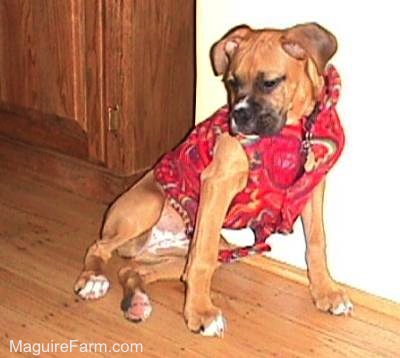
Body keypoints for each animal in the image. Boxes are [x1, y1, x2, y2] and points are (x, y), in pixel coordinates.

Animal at [74, 23, 354, 338]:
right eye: (232, 82)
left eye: (269, 83)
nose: (238, 117)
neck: (292, 134)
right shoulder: (219, 183)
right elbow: (202, 258)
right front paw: (200, 313)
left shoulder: (311, 188)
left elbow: (317, 242)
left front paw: (326, 292)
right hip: (150, 205)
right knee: (99, 247)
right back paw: (93, 280)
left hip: (198, 253)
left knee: (136, 270)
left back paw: (137, 302)